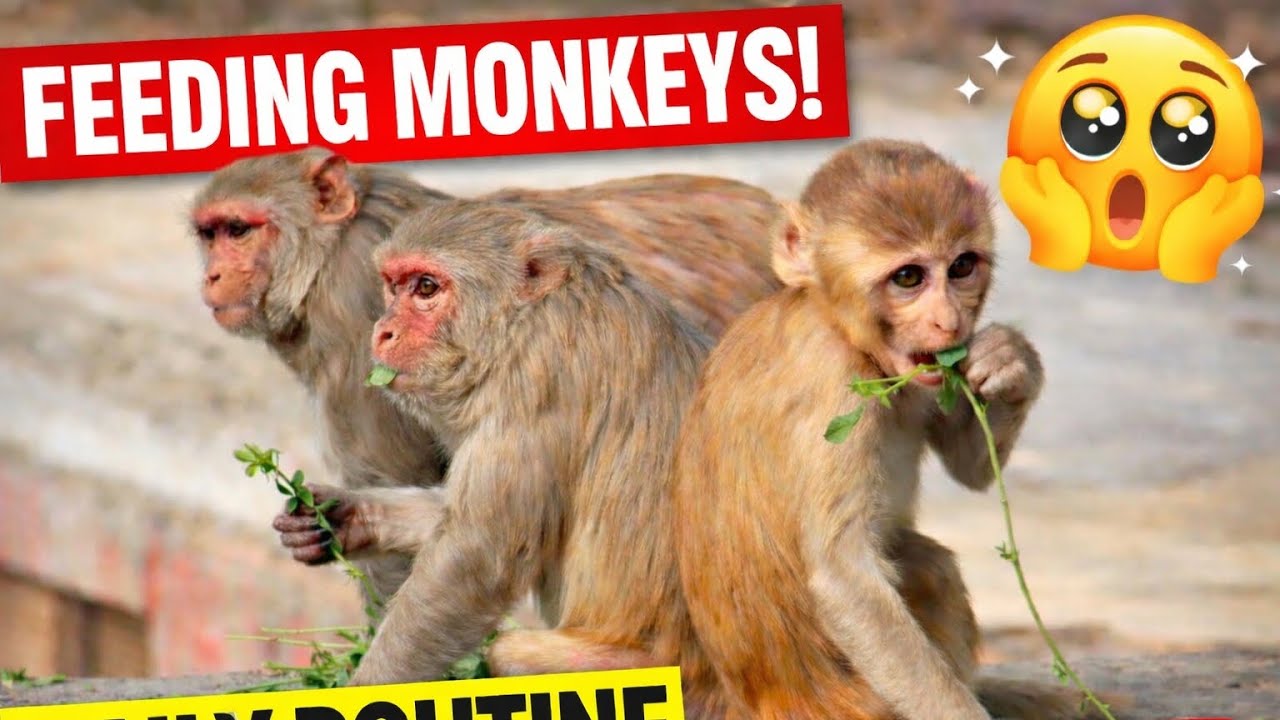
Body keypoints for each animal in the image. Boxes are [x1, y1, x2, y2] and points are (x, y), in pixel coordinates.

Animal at [344, 199, 712, 687]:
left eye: (425, 287)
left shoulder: (534, 379)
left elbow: (475, 557)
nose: (382, 331)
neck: (520, 319)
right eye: (392, 286)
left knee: (506, 653)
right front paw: (353, 514)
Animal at [670, 138, 1114, 720]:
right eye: (908, 278)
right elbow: (844, 578)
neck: (839, 328)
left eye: (962, 266)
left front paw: (1010, 359)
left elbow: (969, 468)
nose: (949, 321)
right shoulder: (832, 385)